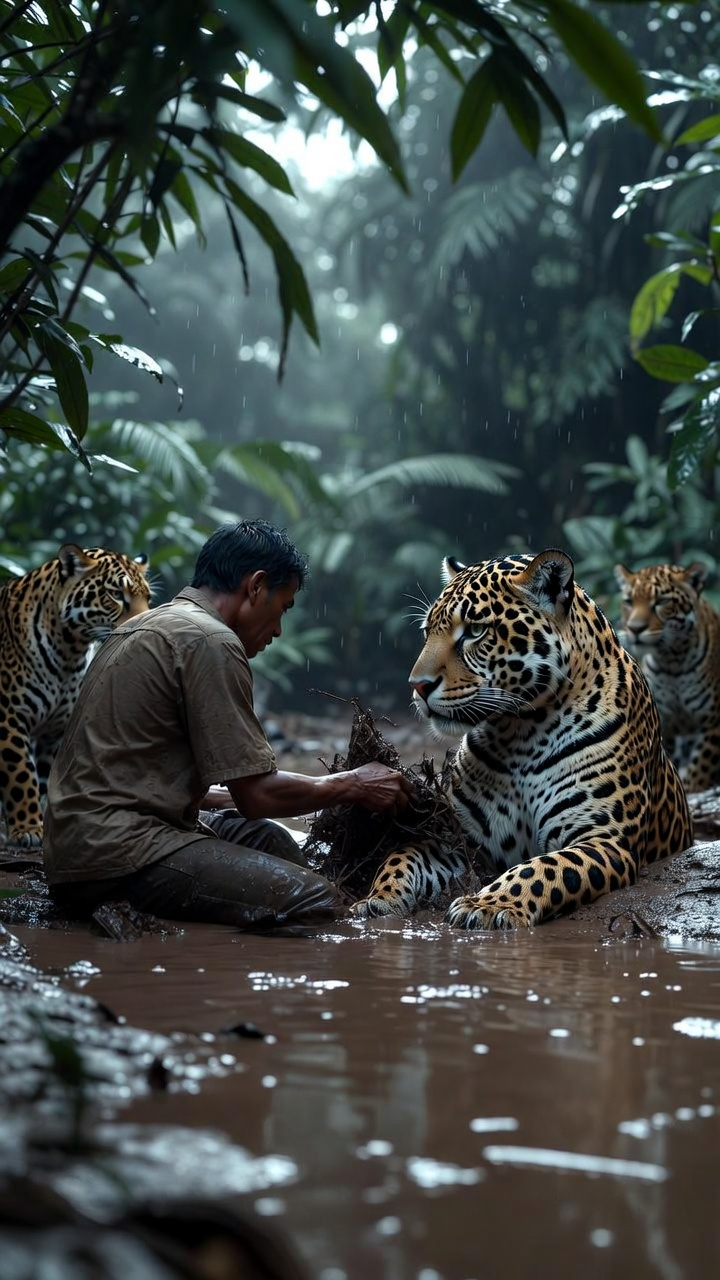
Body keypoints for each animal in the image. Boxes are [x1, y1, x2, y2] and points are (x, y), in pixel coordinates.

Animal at [0, 544, 151, 847]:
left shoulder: (55, 731)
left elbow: (46, 779)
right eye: (116, 594)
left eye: (148, 597)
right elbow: (20, 773)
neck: (69, 652)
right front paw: (28, 828)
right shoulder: (8, 714)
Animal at [351, 548, 692, 930]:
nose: (418, 686)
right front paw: (376, 899)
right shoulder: (460, 840)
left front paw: (487, 904)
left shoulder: (606, 840)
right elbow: (403, 854)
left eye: (475, 630)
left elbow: (542, 867)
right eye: (427, 631)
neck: (521, 733)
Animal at [614, 560, 720, 793]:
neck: (672, 661)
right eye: (628, 602)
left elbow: (701, 767)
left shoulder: (714, 722)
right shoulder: (663, 724)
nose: (634, 628)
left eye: (662, 602)